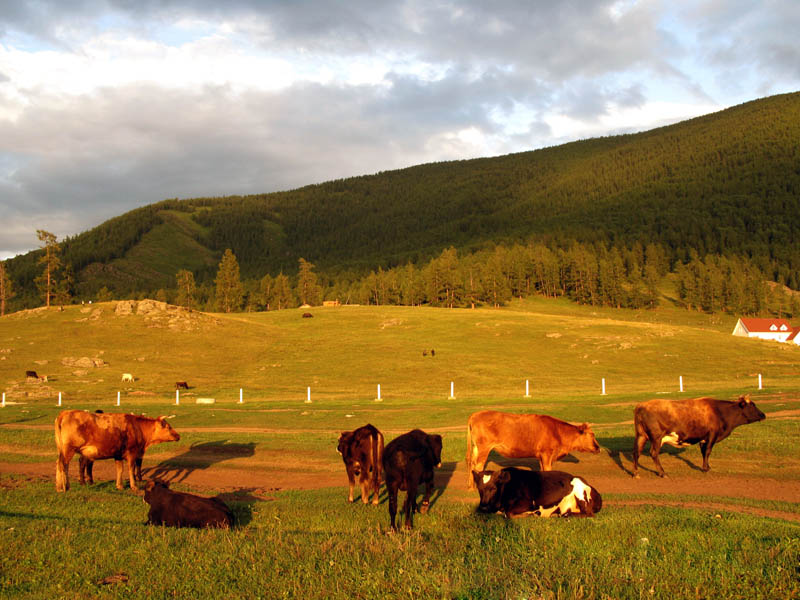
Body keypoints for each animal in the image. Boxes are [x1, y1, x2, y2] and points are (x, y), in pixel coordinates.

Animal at [462, 410, 600, 490]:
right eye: (592, 435)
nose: (598, 448)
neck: (557, 431)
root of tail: (476, 414)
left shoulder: (541, 457)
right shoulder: (547, 454)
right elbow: (548, 470)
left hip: (476, 448)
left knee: (472, 464)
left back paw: (471, 486)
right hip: (483, 448)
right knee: (478, 466)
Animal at [468, 466, 600, 516]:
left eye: (494, 488)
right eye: (479, 488)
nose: (484, 506)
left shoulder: (527, 503)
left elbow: (508, 513)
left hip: (580, 492)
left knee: (588, 514)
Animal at [636, 394, 764, 478]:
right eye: (752, 405)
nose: (763, 415)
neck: (719, 412)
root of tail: (642, 405)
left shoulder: (704, 438)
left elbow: (703, 452)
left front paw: (707, 467)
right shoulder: (712, 435)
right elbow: (707, 452)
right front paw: (705, 469)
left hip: (641, 436)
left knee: (636, 452)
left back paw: (635, 473)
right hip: (657, 438)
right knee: (653, 453)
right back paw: (662, 473)